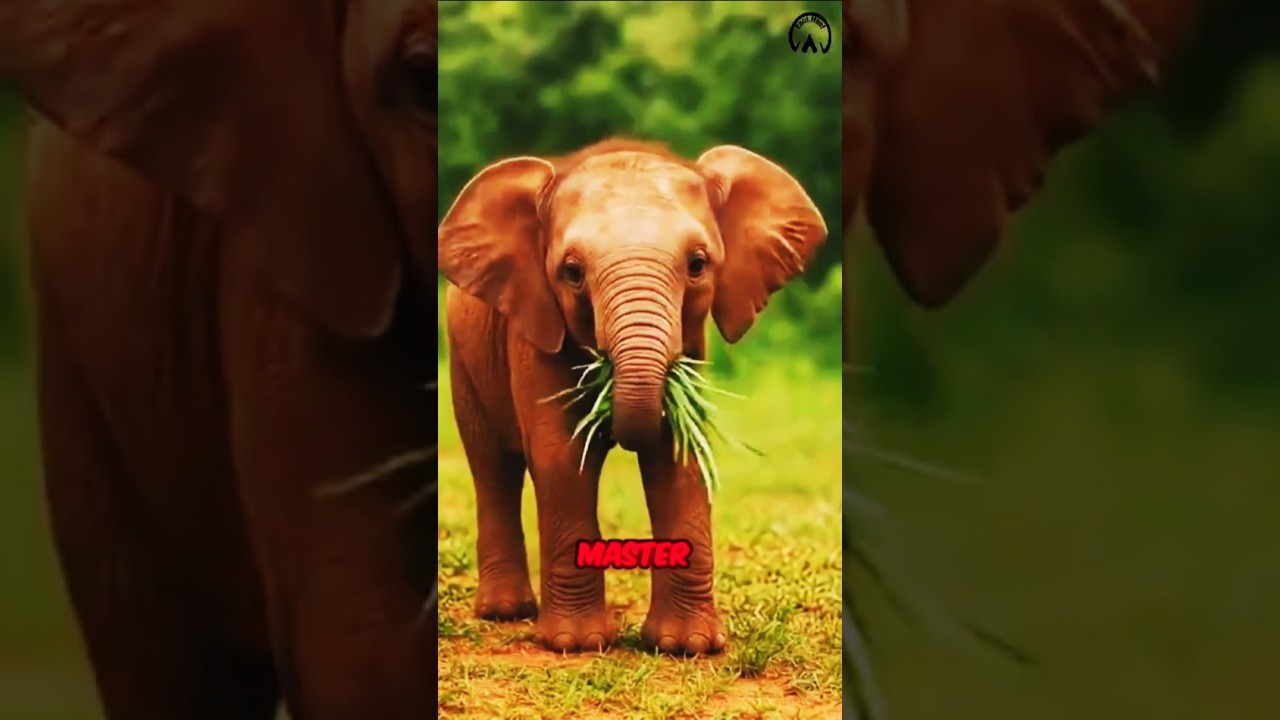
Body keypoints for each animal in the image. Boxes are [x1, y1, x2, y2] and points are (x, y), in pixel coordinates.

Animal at [437, 139, 828, 654]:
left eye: (698, 265)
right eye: (572, 272)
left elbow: (679, 455)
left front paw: (687, 647)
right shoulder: (534, 327)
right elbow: (562, 457)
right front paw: (576, 644)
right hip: (463, 356)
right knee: (492, 467)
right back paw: (506, 612)